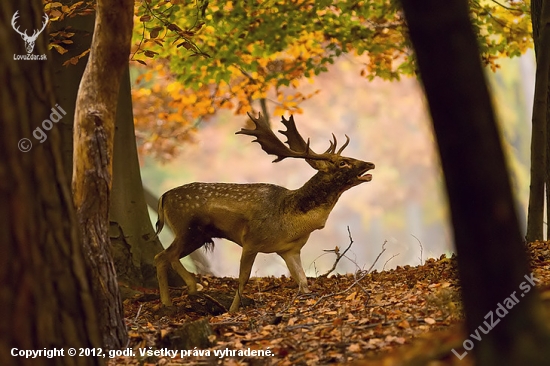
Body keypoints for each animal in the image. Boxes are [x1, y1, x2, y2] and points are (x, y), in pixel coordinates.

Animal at [153, 113, 376, 314]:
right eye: (343, 162)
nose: (370, 164)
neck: (290, 217)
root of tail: (164, 196)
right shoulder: (251, 240)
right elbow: (243, 278)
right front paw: (232, 311)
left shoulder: (289, 249)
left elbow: (302, 280)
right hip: (187, 228)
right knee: (166, 255)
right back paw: (184, 293)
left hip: (197, 236)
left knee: (163, 256)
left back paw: (175, 298)